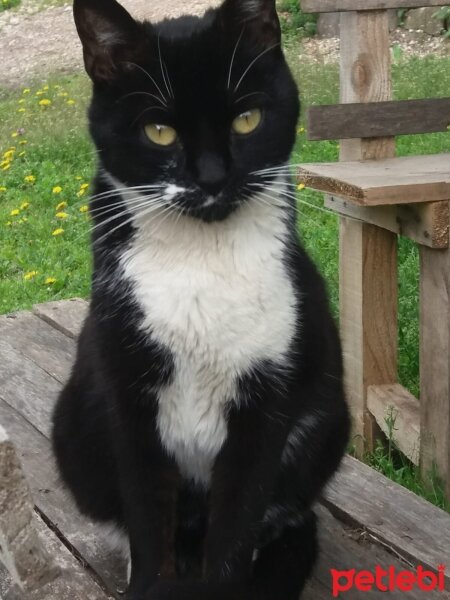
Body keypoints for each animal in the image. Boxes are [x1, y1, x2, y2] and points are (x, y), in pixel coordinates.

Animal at [51, 0, 350, 596]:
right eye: (159, 131)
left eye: (247, 120)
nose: (212, 178)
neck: (201, 263)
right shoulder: (127, 394)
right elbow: (147, 520)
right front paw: (149, 585)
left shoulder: (265, 405)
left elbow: (236, 528)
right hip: (73, 423)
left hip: (330, 422)